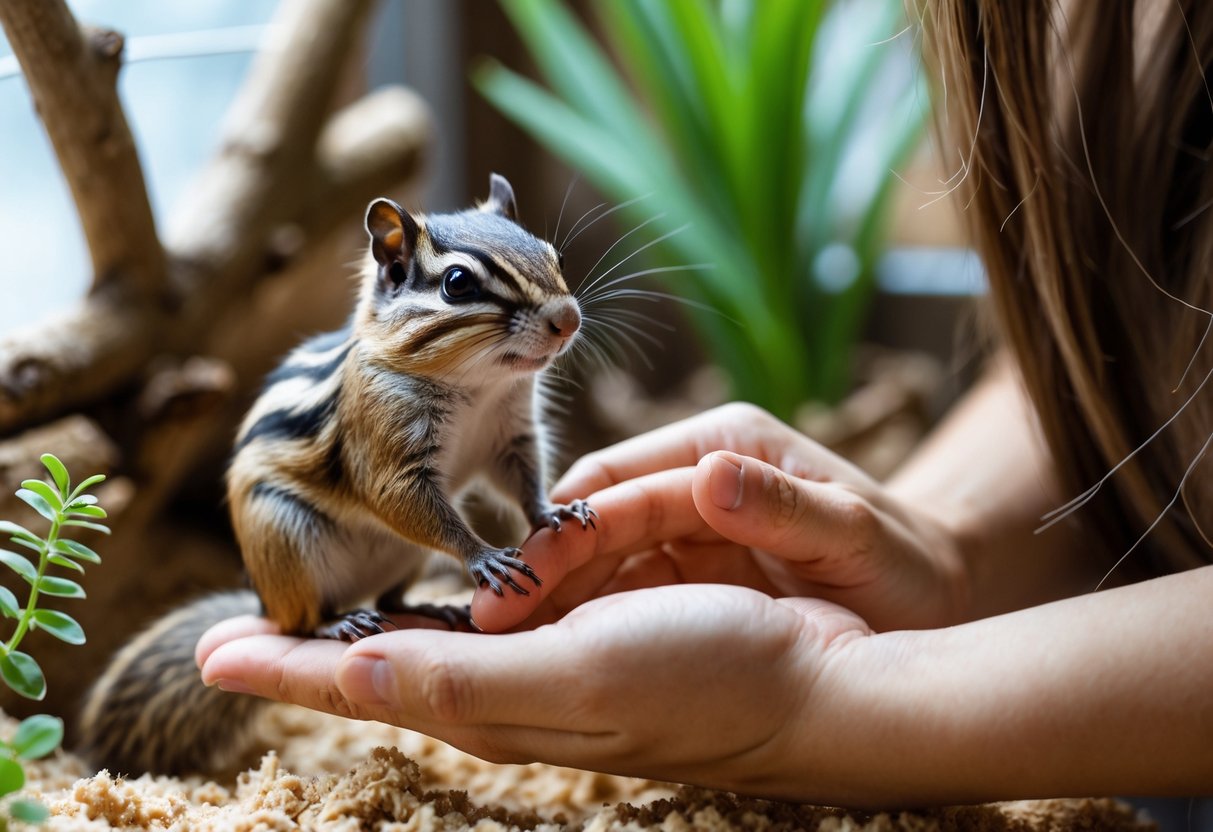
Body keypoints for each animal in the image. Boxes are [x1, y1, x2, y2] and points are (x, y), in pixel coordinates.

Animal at [76, 173, 594, 776]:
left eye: (554, 255)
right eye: (458, 283)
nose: (568, 319)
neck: (478, 388)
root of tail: (262, 603)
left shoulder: (511, 434)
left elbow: (525, 481)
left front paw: (554, 509)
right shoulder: (387, 452)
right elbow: (401, 500)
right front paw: (484, 557)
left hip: (403, 557)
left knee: (390, 601)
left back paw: (427, 606)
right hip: (284, 537)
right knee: (300, 622)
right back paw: (337, 623)